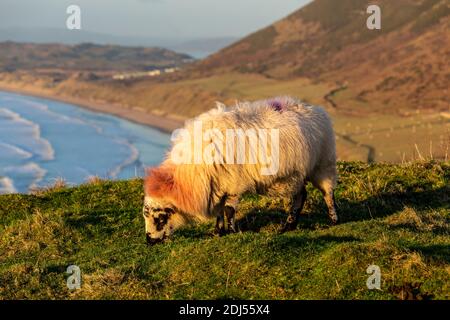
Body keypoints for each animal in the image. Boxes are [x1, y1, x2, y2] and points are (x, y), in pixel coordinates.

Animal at [142, 96, 336, 244]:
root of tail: (314, 108)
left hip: (322, 163)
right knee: (301, 195)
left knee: (327, 192)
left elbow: (228, 210)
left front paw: (232, 231)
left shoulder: (234, 183)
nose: (149, 241)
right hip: (295, 175)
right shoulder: (218, 186)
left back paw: (333, 220)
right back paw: (288, 226)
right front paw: (218, 232)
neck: (191, 175)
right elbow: (219, 211)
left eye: (160, 218)